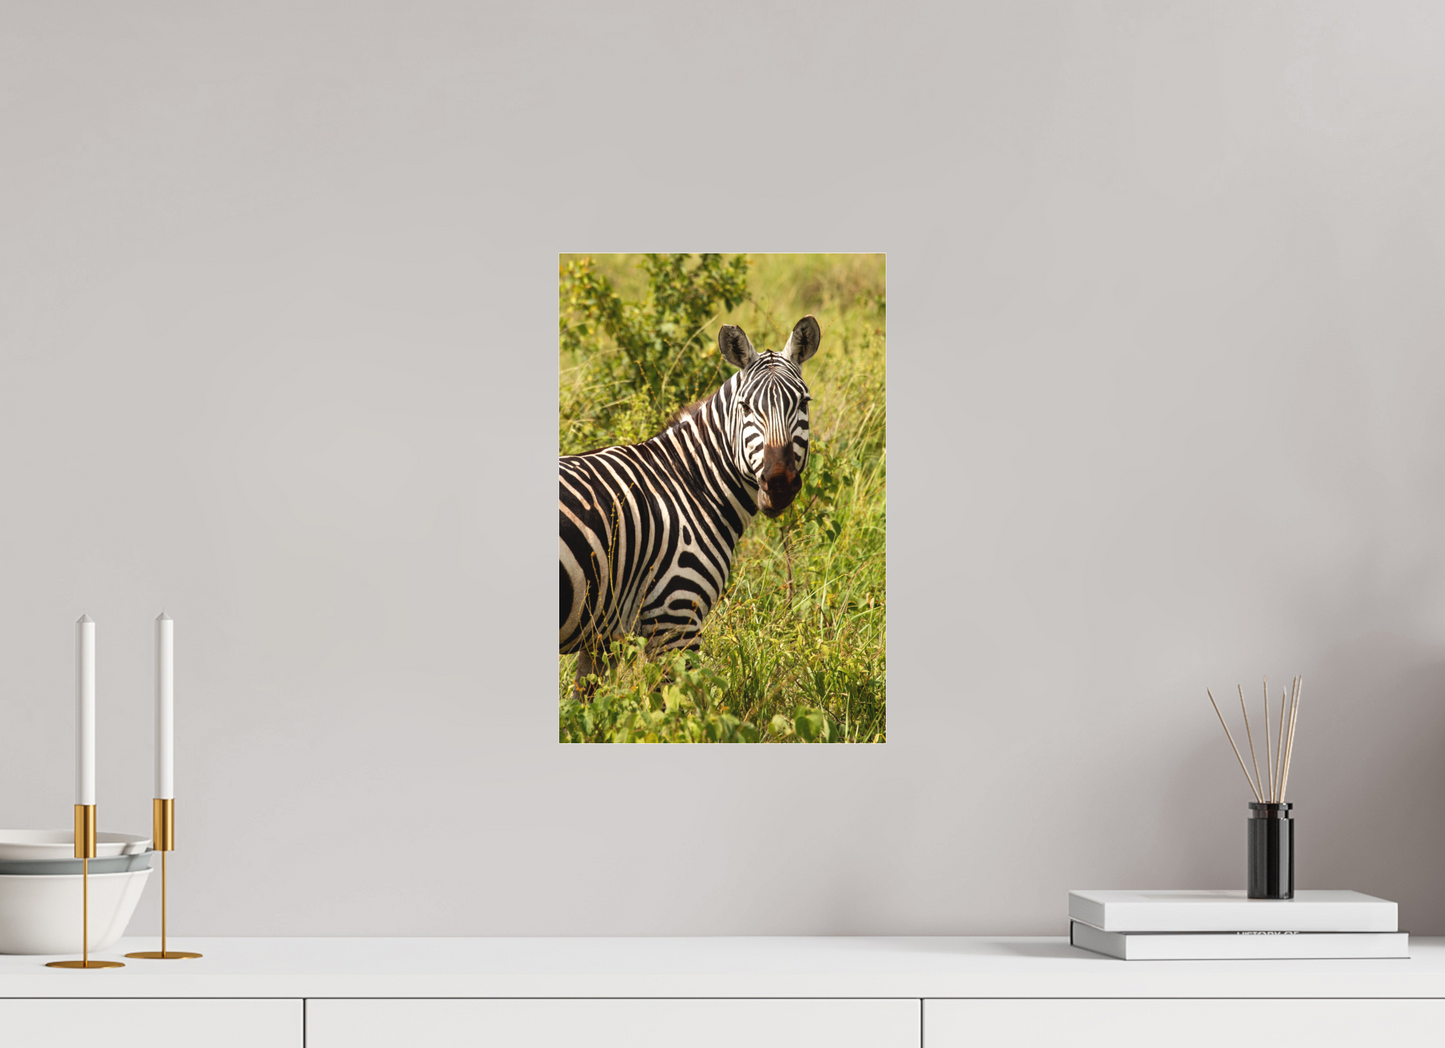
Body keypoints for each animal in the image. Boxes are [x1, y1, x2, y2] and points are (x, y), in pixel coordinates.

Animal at [559, 314, 822, 698]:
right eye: (745, 407)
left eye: (803, 403)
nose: (779, 484)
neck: (689, 481)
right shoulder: (675, 618)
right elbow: (678, 707)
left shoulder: (602, 635)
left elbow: (588, 706)